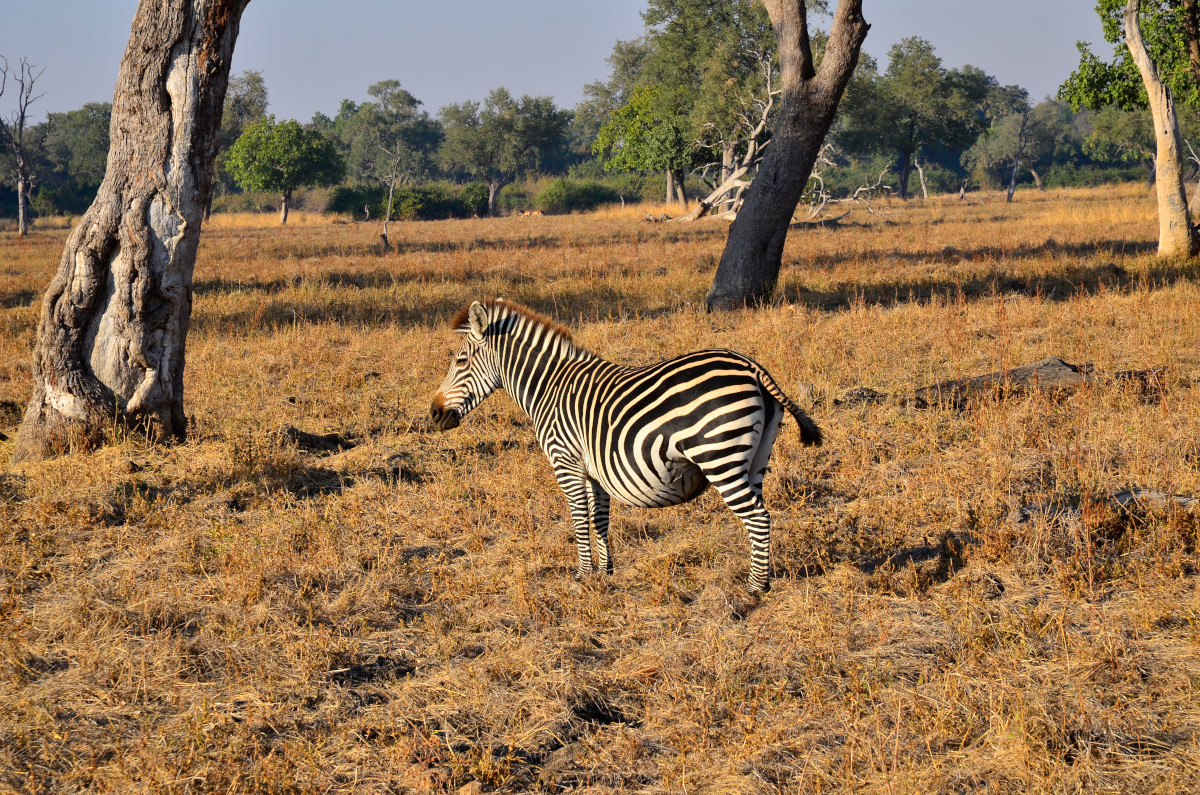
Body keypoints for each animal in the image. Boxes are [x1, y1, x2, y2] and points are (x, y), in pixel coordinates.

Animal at [429, 299, 822, 593]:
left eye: (460, 360)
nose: (434, 413)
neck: (549, 388)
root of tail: (751, 366)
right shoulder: (593, 467)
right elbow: (599, 518)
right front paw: (606, 572)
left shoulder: (565, 461)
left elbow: (578, 518)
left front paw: (582, 575)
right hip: (755, 460)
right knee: (762, 515)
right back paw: (762, 578)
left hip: (720, 458)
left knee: (757, 517)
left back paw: (755, 589)